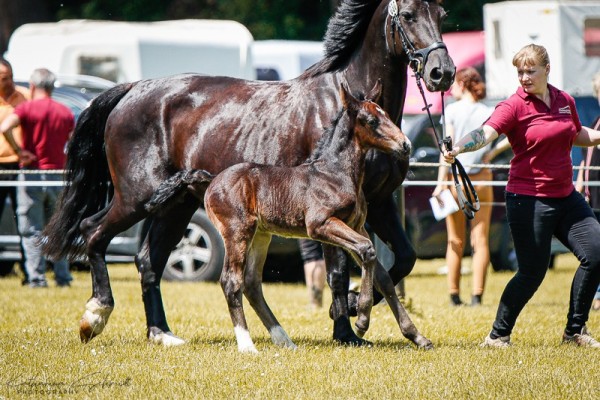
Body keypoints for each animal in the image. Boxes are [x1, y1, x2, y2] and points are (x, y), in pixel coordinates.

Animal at [148, 82, 410, 354]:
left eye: (387, 115)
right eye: (372, 120)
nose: (405, 145)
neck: (334, 173)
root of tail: (212, 180)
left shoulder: (354, 225)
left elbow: (375, 263)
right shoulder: (320, 225)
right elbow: (367, 250)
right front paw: (361, 320)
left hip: (260, 235)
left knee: (252, 283)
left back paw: (284, 339)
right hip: (237, 232)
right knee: (231, 281)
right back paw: (247, 345)